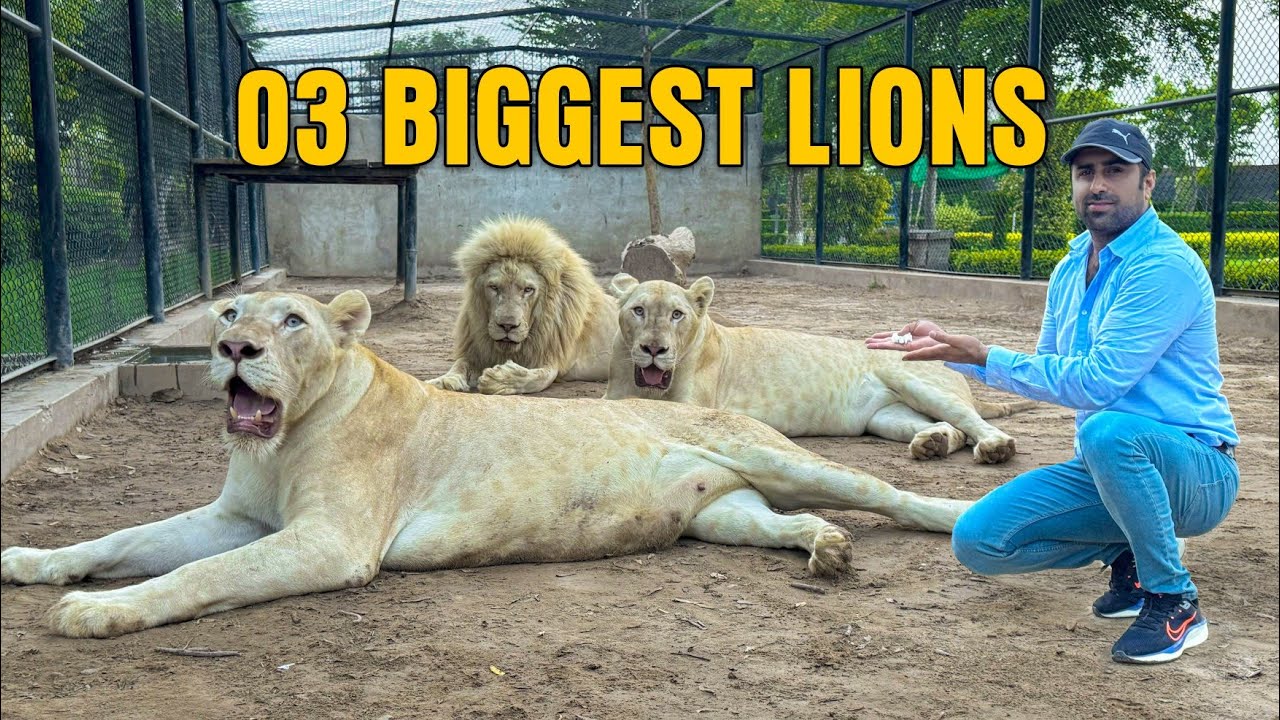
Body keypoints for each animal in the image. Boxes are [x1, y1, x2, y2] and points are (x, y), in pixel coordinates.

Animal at [1, 289, 971, 639]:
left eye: (293, 321)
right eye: (232, 312)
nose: (233, 348)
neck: (283, 440)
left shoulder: (332, 543)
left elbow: (200, 578)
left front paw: (98, 611)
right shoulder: (233, 516)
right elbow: (127, 536)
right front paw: (33, 563)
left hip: (784, 458)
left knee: (884, 490)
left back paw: (958, 513)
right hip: (722, 512)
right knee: (785, 521)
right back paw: (826, 550)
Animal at [603, 274, 1037, 464]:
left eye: (677, 314)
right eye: (638, 310)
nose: (654, 349)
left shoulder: (696, 407)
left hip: (914, 381)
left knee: (973, 422)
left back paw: (996, 448)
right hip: (886, 417)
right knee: (952, 429)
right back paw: (932, 444)